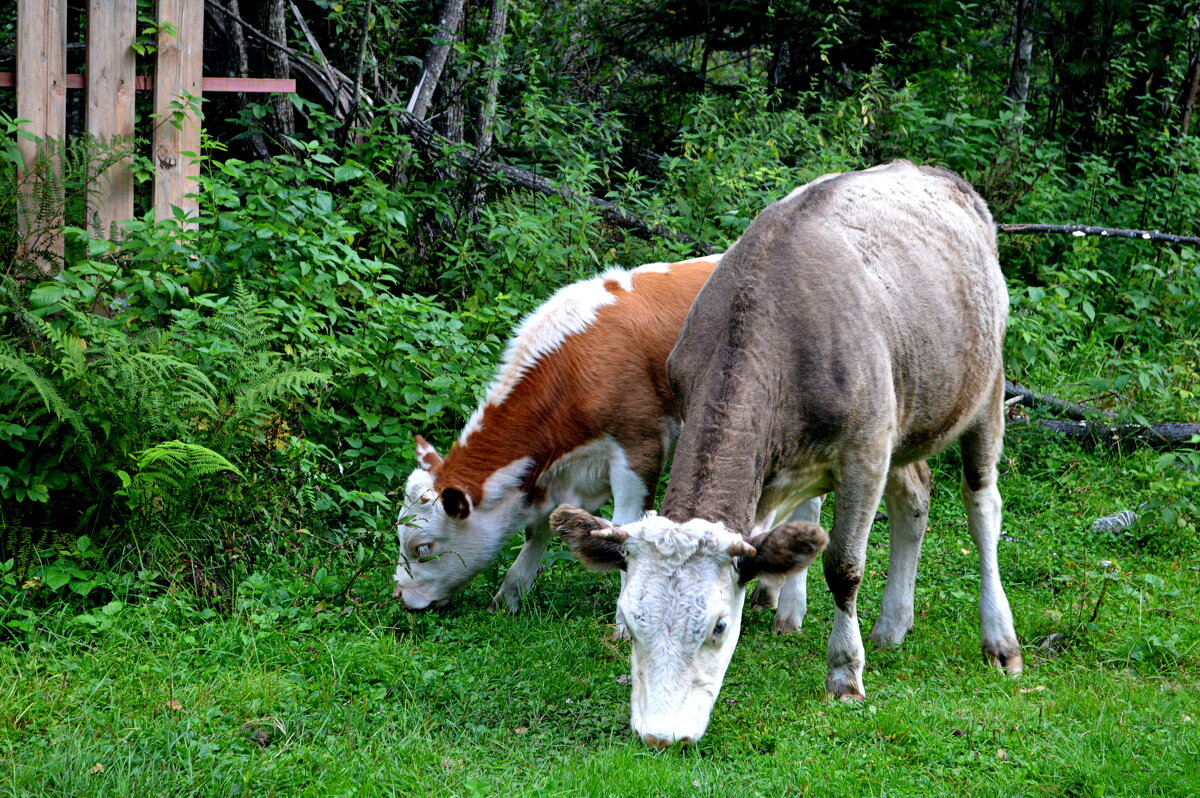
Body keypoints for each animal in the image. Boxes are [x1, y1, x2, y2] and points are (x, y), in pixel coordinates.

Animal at [393, 255, 720, 609]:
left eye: (424, 548)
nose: (400, 596)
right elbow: (538, 527)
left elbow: (625, 527)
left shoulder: (640, 446)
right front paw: (508, 597)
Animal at [552, 160, 1022, 748]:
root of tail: (931, 171)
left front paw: (844, 673)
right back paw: (892, 625)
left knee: (982, 505)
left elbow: (844, 566)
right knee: (914, 497)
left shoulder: (865, 454)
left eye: (718, 626)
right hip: (905, 412)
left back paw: (999, 640)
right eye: (630, 619)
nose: (660, 736)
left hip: (986, 387)